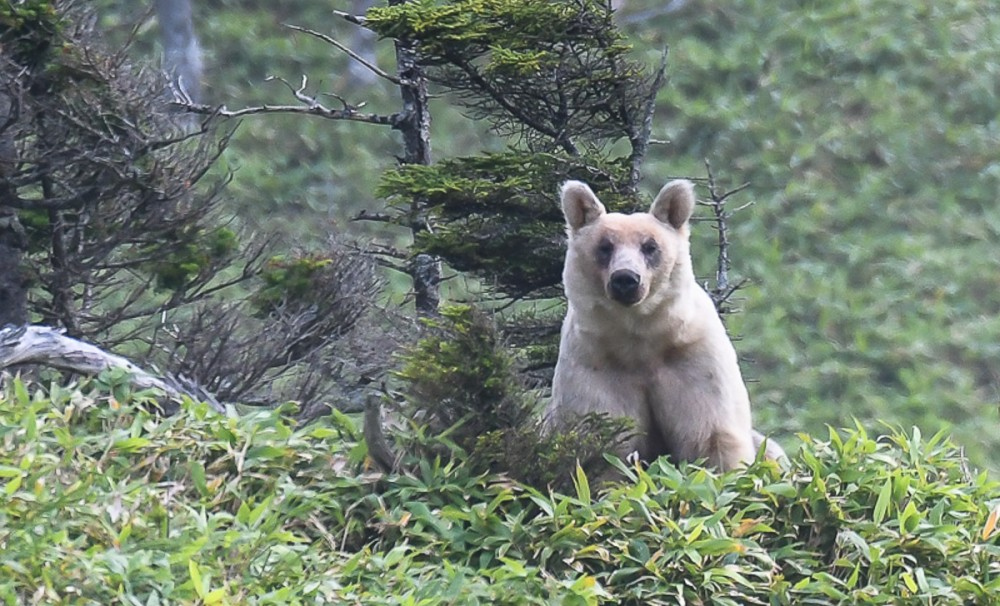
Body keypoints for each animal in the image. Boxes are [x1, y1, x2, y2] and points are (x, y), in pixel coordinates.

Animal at [540, 178, 780, 472]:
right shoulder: (593, 369)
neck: (640, 338)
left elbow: (711, 436)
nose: (626, 279)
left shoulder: (694, 361)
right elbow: (606, 447)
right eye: (605, 246)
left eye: (650, 246)